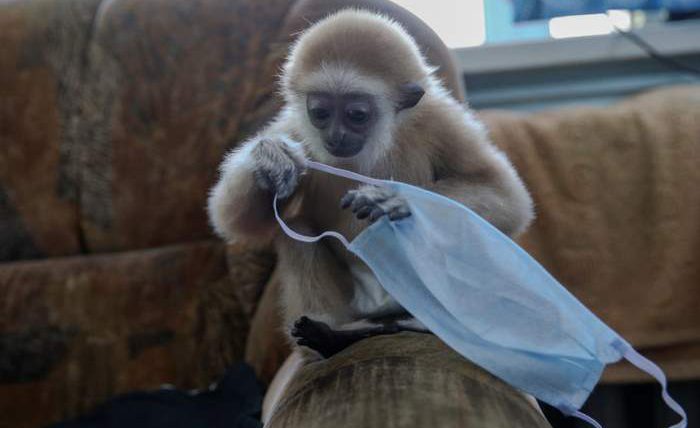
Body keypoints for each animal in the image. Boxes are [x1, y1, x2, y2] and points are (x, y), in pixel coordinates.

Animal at [208, 9, 534, 360]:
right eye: (320, 112)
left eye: (356, 115)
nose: (335, 135)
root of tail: (382, 306)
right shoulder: (297, 130)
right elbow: (239, 220)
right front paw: (270, 159)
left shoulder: (441, 119)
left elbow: (507, 196)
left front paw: (396, 200)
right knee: (297, 228)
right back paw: (330, 336)